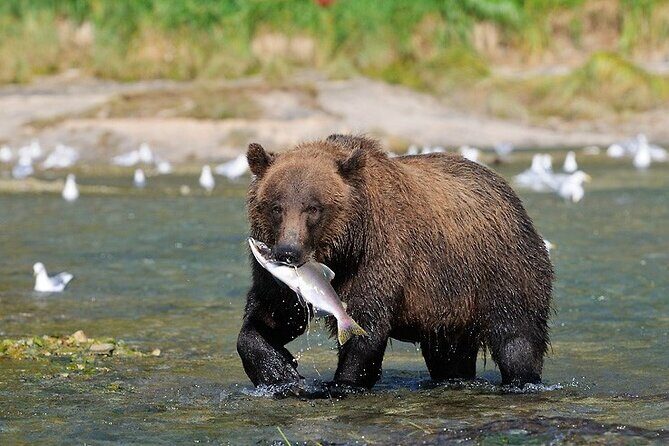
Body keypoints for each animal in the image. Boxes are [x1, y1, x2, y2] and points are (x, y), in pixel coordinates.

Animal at [237, 134, 553, 392]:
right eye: (276, 206)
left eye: (313, 208)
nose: (287, 252)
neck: (342, 249)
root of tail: (508, 191)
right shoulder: (279, 281)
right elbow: (271, 317)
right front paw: (280, 371)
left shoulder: (377, 256)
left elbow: (366, 327)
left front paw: (343, 383)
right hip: (450, 305)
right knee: (450, 355)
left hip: (501, 270)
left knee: (517, 339)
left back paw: (521, 379)